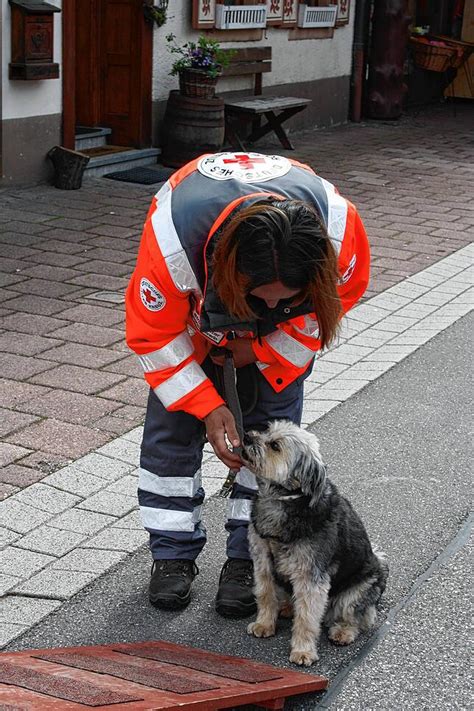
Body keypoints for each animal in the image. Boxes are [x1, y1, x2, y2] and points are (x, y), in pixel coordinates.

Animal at [241, 420, 388, 664]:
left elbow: (307, 618)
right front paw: (264, 624)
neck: (285, 499)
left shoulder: (311, 577)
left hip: (357, 591)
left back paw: (343, 631)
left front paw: (303, 650)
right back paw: (287, 607)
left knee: (356, 617)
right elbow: (265, 594)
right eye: (267, 430)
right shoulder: (262, 562)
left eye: (275, 446)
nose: (246, 436)